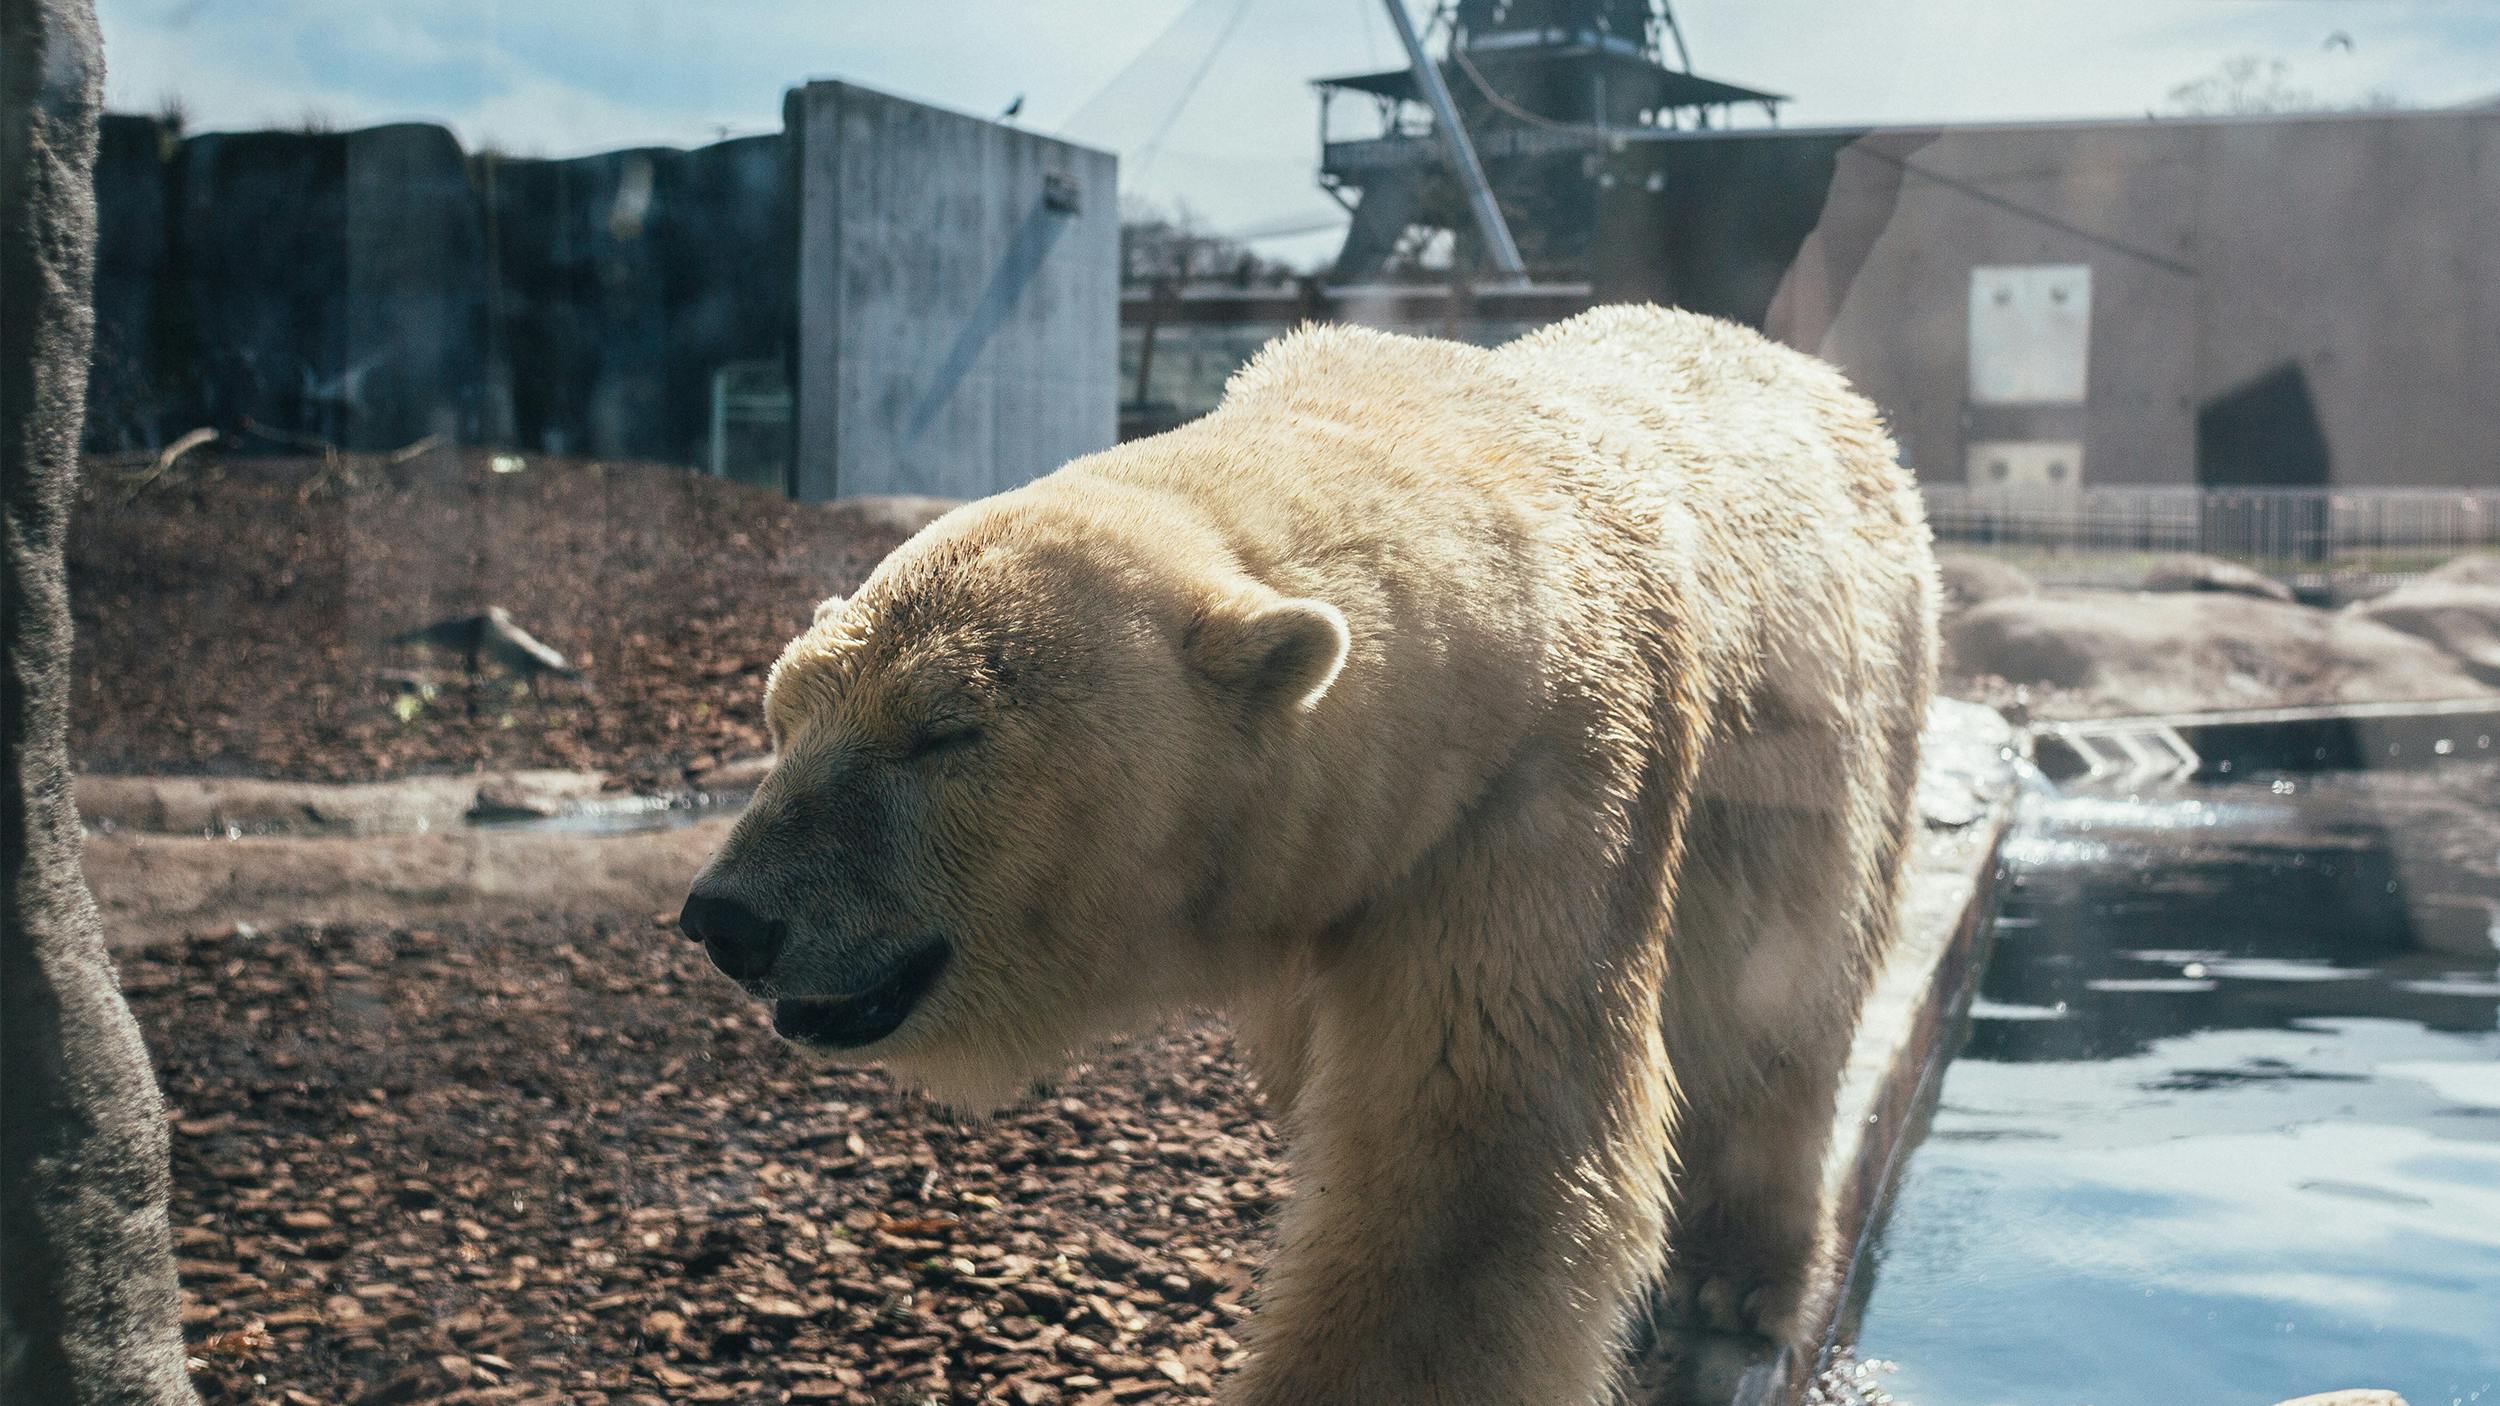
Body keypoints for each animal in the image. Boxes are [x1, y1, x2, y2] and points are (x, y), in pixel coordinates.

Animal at [680, 301, 1930, 1390]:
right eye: (782, 713)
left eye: (943, 732)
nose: (727, 915)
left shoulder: (1540, 787)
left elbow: (1474, 1157)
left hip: (1841, 722)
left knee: (1784, 992)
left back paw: (1737, 1272)